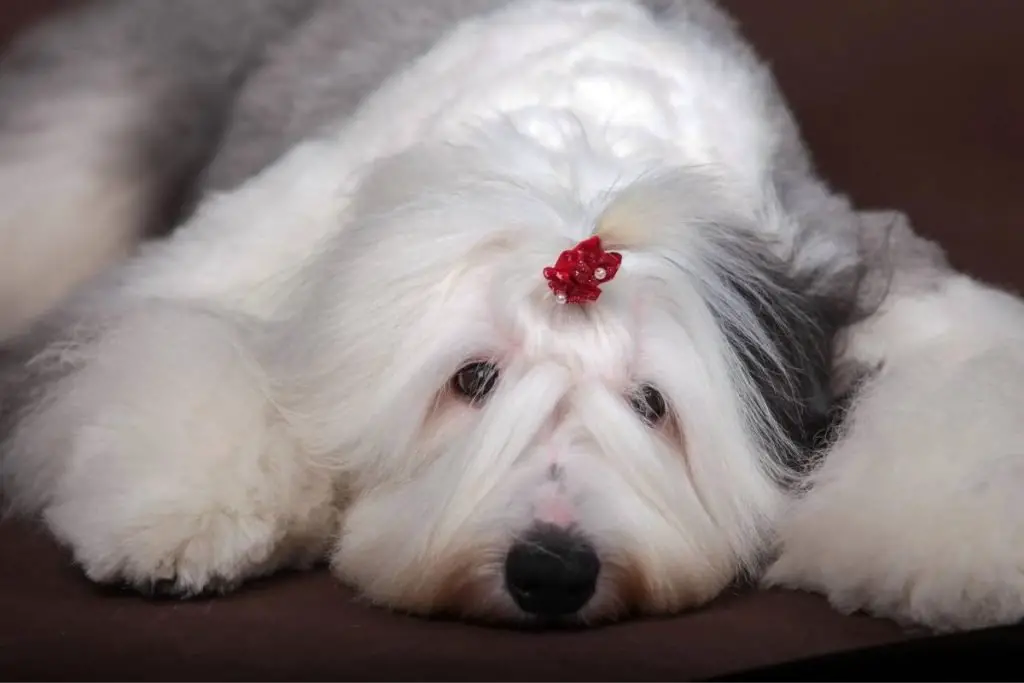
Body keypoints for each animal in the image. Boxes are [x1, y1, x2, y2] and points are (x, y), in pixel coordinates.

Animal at [2, 0, 1024, 634]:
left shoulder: (847, 262)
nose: (553, 572)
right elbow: (184, 341)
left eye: (653, 403)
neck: (581, 159)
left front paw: (968, 547)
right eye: (473, 379)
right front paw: (181, 517)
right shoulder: (251, 250)